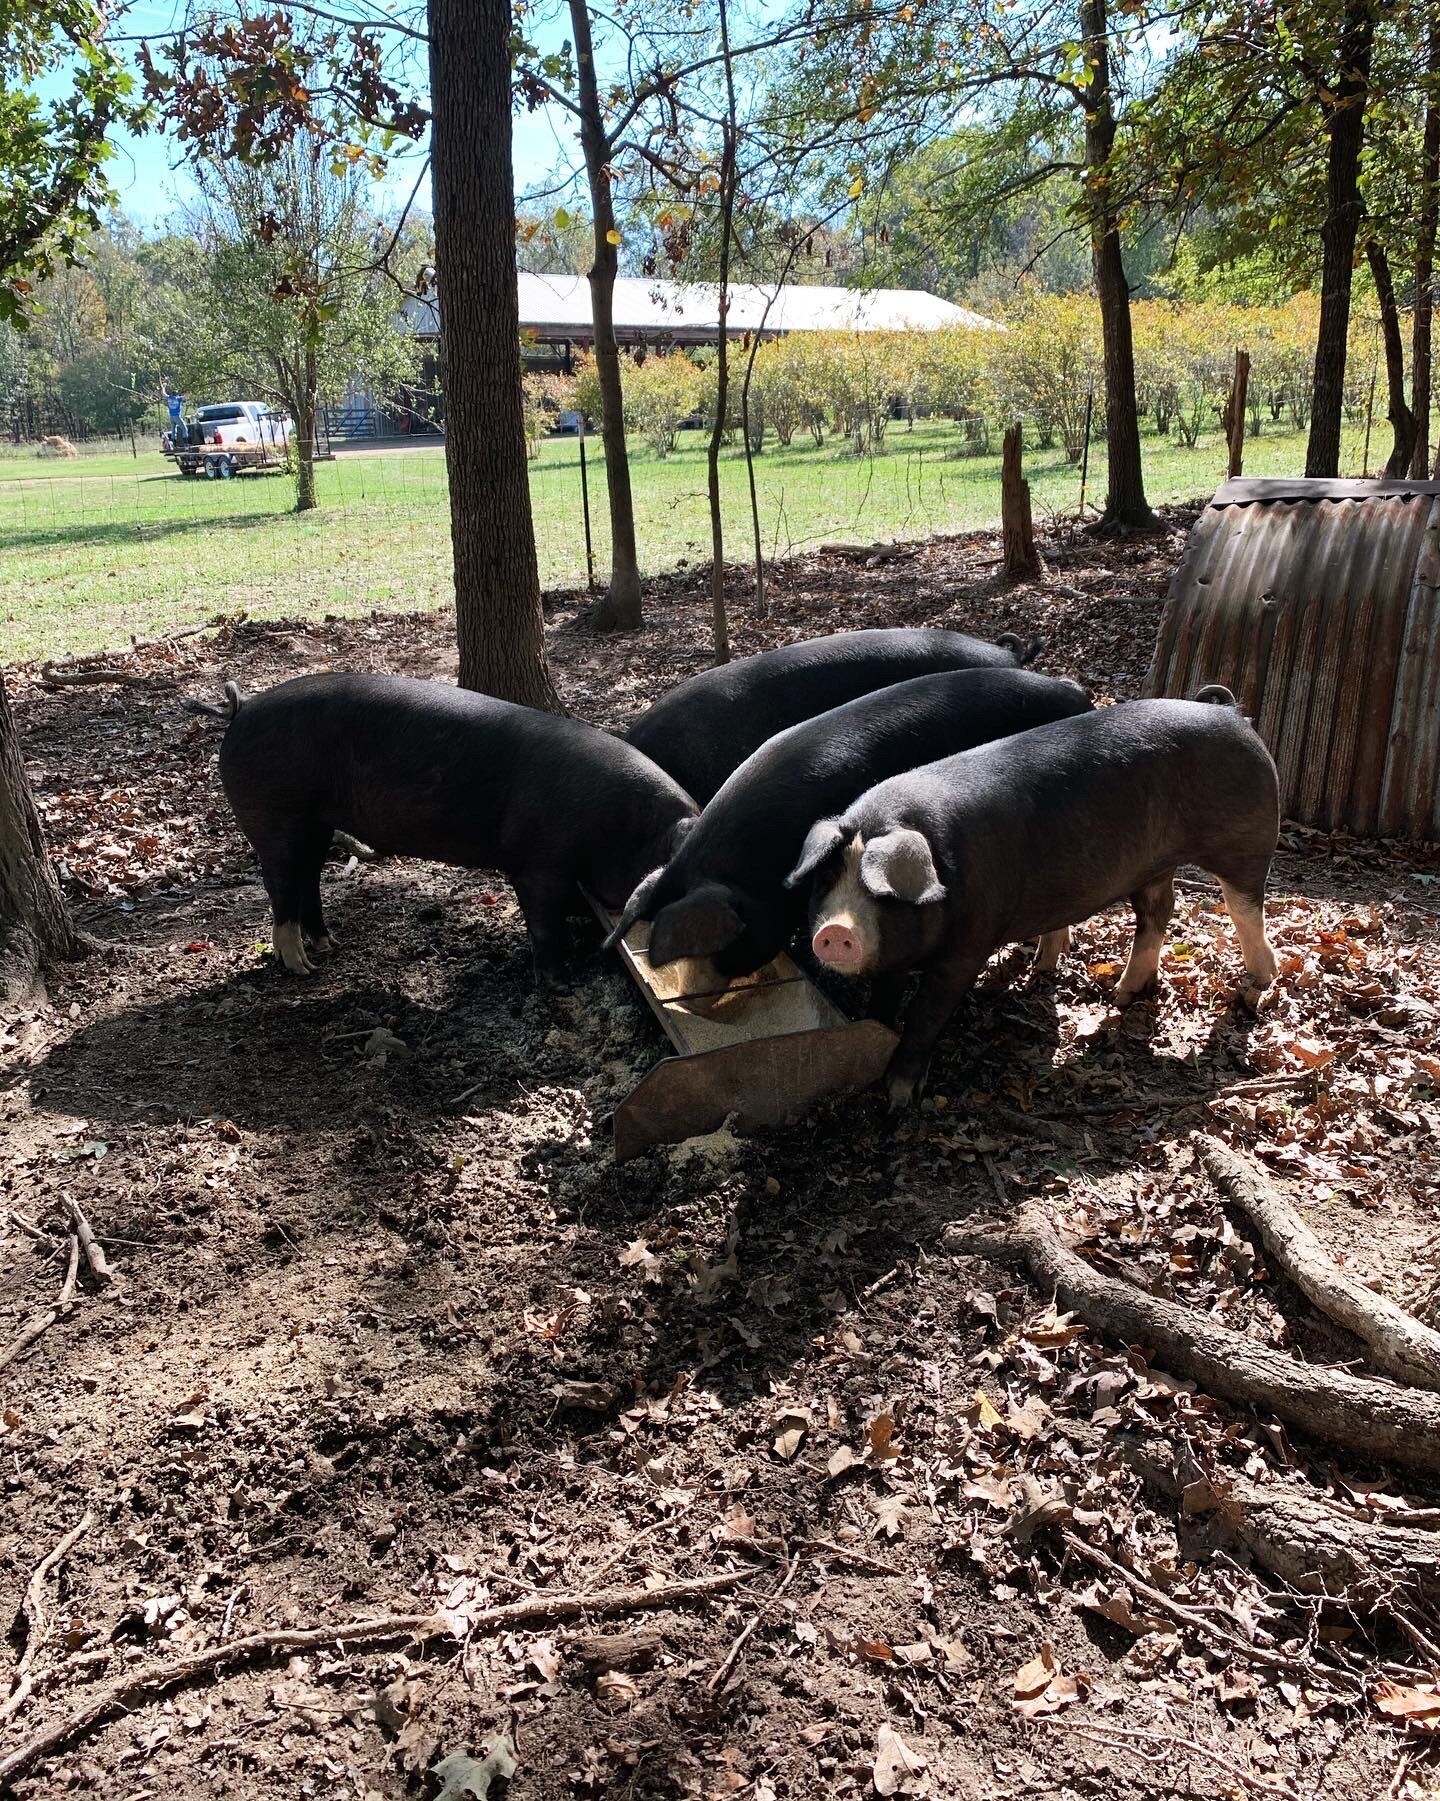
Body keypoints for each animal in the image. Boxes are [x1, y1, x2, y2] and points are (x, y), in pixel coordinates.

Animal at [218, 674, 696, 981]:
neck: (623, 827)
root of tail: (242, 710)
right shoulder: (539, 863)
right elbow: (544, 921)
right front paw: (560, 984)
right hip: (273, 814)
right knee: (281, 885)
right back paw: (301, 967)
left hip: (317, 822)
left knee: (309, 879)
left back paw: (329, 946)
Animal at [786, 687, 1280, 1106]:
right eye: (826, 880)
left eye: (880, 890)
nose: (835, 931)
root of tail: (1232, 714)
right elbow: (884, 1001)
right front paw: (879, 1046)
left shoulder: (968, 947)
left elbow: (927, 1015)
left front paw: (899, 1097)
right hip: (1154, 867)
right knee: (1158, 913)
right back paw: (1117, 995)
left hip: (1248, 841)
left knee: (1244, 908)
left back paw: (1255, 987)